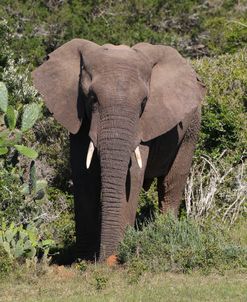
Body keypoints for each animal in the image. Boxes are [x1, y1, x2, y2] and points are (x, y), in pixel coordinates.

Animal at [31, 39, 206, 262]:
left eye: (143, 102)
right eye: (92, 98)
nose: (107, 259)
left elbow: (132, 175)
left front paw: (114, 260)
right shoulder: (79, 118)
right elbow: (83, 175)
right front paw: (85, 260)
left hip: (191, 130)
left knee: (171, 182)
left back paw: (164, 231)